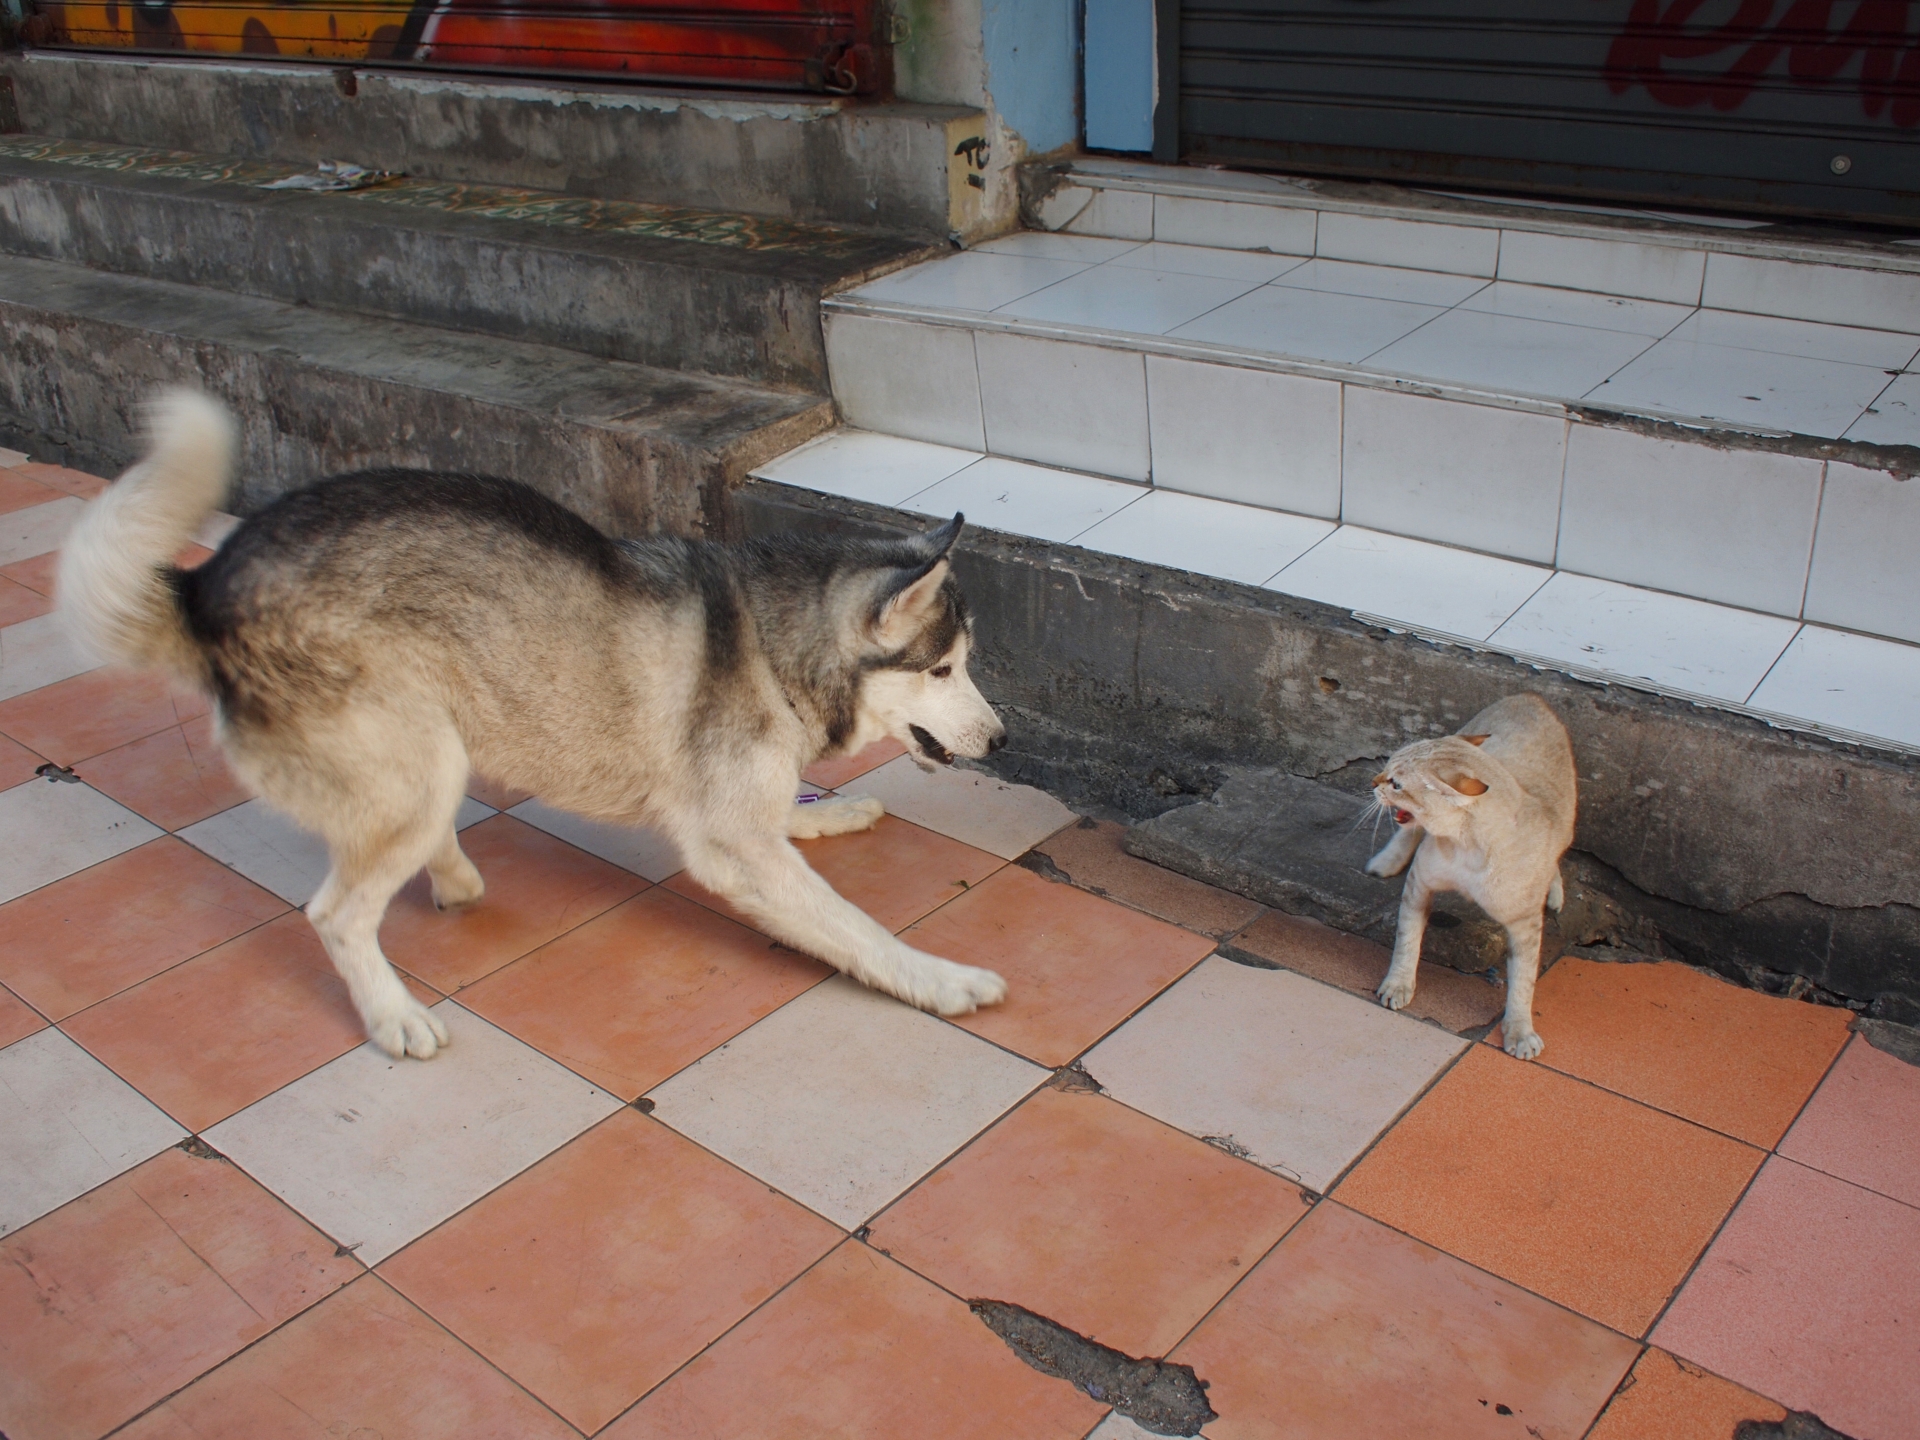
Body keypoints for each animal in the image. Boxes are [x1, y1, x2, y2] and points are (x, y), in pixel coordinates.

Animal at [65, 395, 1013, 1059]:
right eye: (942, 670)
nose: (1002, 741)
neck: (773, 641)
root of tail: (209, 586)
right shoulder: (734, 850)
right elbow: (857, 930)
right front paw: (940, 981)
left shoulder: (739, 806)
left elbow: (785, 811)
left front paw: (825, 812)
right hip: (414, 755)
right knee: (337, 914)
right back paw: (393, 1015)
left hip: (430, 752)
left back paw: (450, 875)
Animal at [1367, 698, 1574, 1059]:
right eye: (1387, 769)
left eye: (1396, 784)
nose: (1373, 781)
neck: (1467, 847)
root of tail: (1531, 696)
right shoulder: (1420, 882)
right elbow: (1407, 941)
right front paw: (1398, 985)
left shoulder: (1526, 925)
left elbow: (1523, 982)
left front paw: (1520, 1033)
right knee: (1409, 831)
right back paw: (1386, 860)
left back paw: (1555, 890)